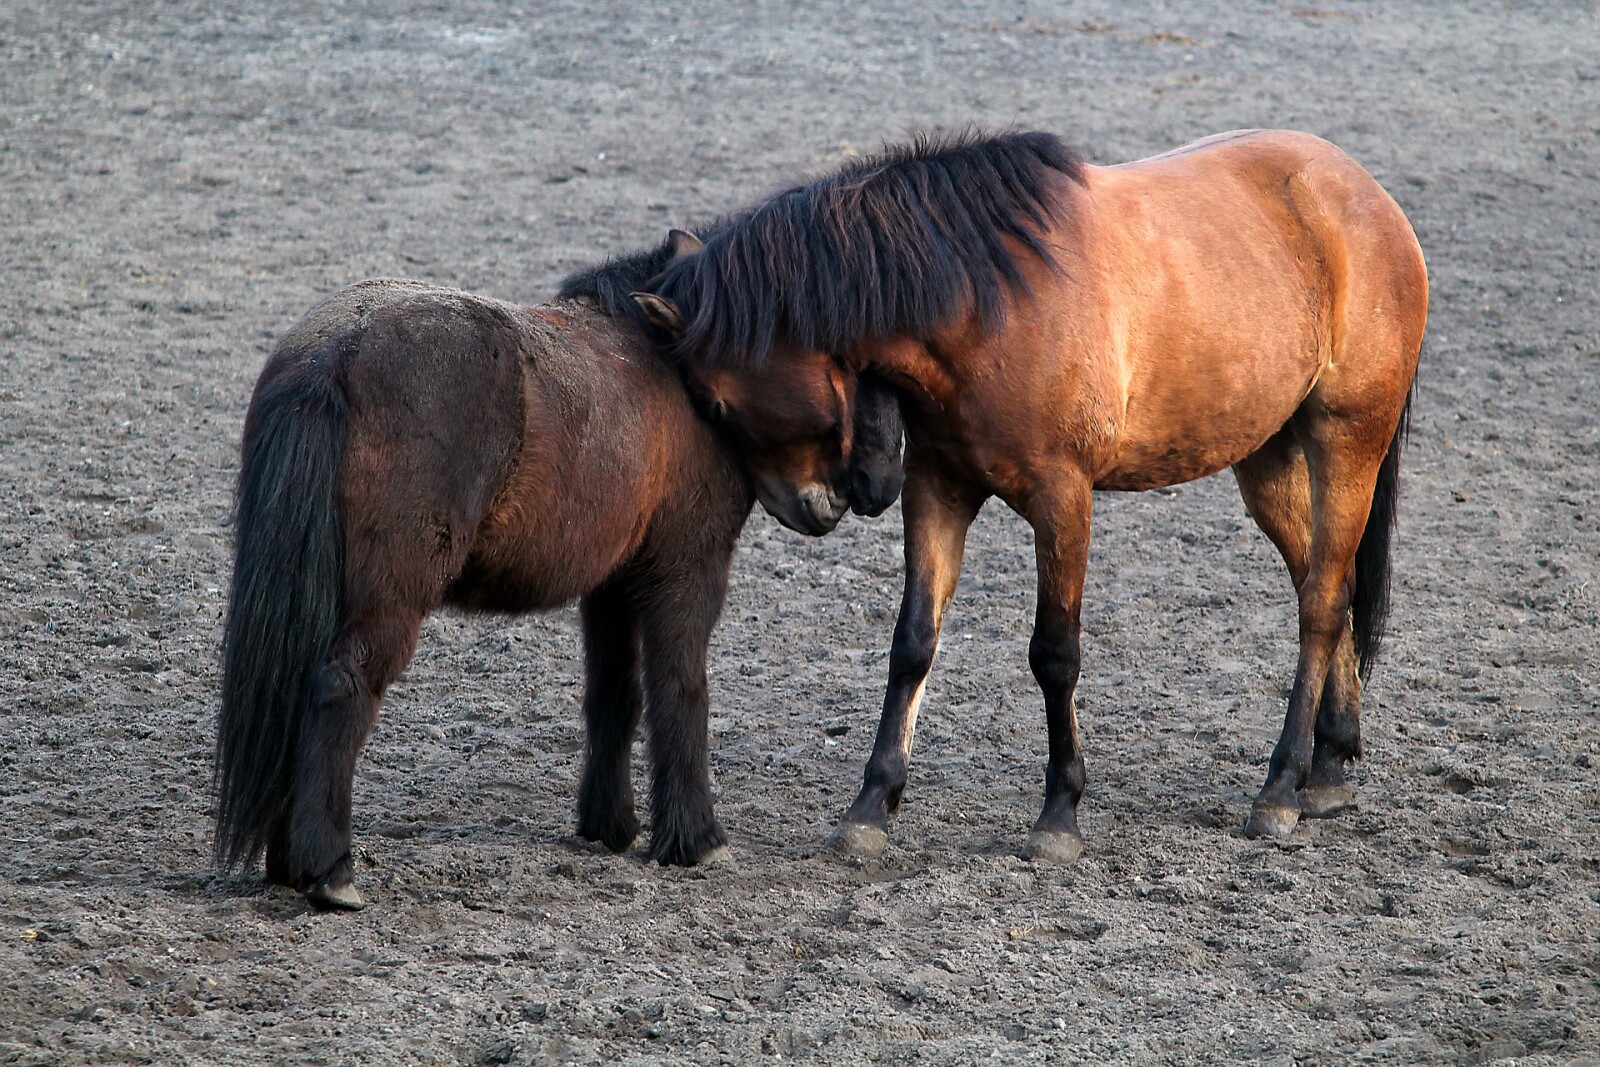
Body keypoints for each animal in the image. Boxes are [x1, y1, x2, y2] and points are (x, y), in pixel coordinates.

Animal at [217, 251, 908, 908]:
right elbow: (681, 690)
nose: (879, 484)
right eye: (849, 361)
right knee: (341, 686)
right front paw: (696, 839)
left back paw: (289, 862)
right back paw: (328, 869)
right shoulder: (687, 569)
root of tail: (337, 350)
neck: (676, 368)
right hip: (387, 599)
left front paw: (611, 825)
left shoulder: (612, 583)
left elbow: (616, 696)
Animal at [630, 129, 1433, 863]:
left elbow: (1055, 652)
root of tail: (1361, 191)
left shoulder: (1062, 498)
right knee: (1325, 585)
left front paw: (1059, 814)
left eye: (716, 404)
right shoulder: (938, 488)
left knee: (1322, 603)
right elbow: (912, 643)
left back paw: (1281, 787)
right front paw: (870, 805)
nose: (809, 507)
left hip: (1347, 438)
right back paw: (1329, 765)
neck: (986, 306)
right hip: (1263, 457)